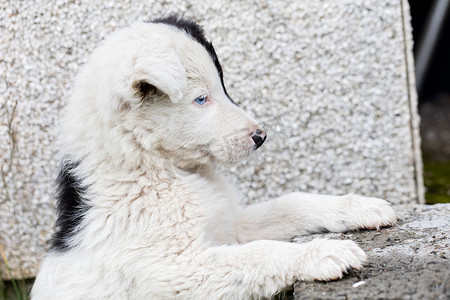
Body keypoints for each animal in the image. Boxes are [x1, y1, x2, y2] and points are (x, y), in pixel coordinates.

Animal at [31, 16, 396, 300]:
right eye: (200, 99)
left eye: (222, 87)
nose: (261, 136)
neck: (159, 167)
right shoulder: (177, 271)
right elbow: (257, 255)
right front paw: (321, 252)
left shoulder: (231, 225)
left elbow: (289, 204)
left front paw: (358, 206)